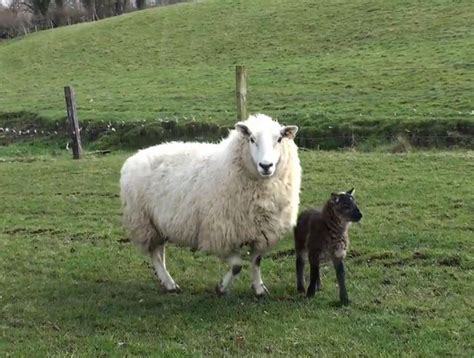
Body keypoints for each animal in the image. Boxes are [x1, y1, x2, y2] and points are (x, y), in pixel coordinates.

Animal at [120, 113, 302, 296]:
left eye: (279, 139)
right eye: (251, 139)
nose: (266, 166)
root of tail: (136, 155)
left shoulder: (262, 233)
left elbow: (256, 261)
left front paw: (259, 288)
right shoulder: (218, 233)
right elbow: (237, 266)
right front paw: (221, 288)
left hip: (159, 224)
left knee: (159, 252)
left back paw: (164, 280)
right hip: (144, 222)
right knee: (155, 254)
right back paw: (169, 283)